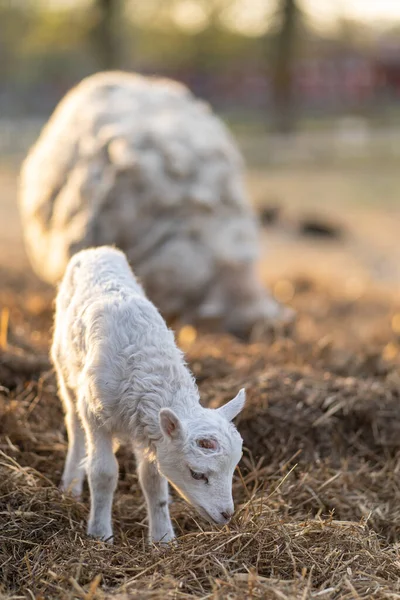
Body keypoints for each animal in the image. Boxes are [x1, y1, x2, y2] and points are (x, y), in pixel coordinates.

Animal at [51, 246, 245, 540]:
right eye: (197, 474)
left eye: (233, 468)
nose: (226, 515)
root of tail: (98, 250)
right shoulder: (96, 416)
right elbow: (103, 473)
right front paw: (99, 534)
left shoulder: (150, 432)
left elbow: (152, 480)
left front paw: (163, 539)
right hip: (66, 372)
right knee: (75, 427)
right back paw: (71, 485)